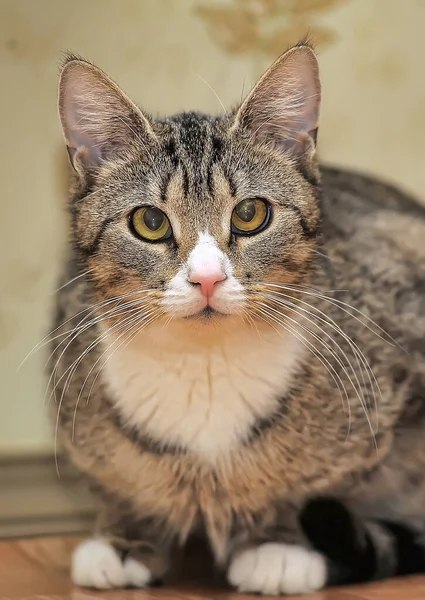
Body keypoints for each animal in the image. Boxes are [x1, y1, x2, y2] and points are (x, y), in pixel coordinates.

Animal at [51, 43, 424, 596]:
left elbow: (320, 481)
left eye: (250, 214)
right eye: (150, 221)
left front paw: (278, 541)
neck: (205, 365)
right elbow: (116, 477)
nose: (207, 277)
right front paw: (125, 535)